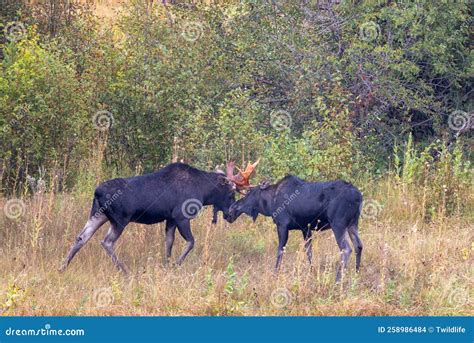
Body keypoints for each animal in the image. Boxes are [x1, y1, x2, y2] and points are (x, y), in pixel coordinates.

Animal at [226, 175, 362, 282]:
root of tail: (359, 197)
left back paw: (338, 279)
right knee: (358, 245)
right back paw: (357, 274)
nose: (231, 209)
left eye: (250, 193)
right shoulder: (305, 228)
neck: (270, 205)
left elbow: (280, 250)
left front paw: (276, 273)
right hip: (353, 223)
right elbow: (309, 251)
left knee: (346, 248)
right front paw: (312, 272)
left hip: (338, 223)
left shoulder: (282, 224)